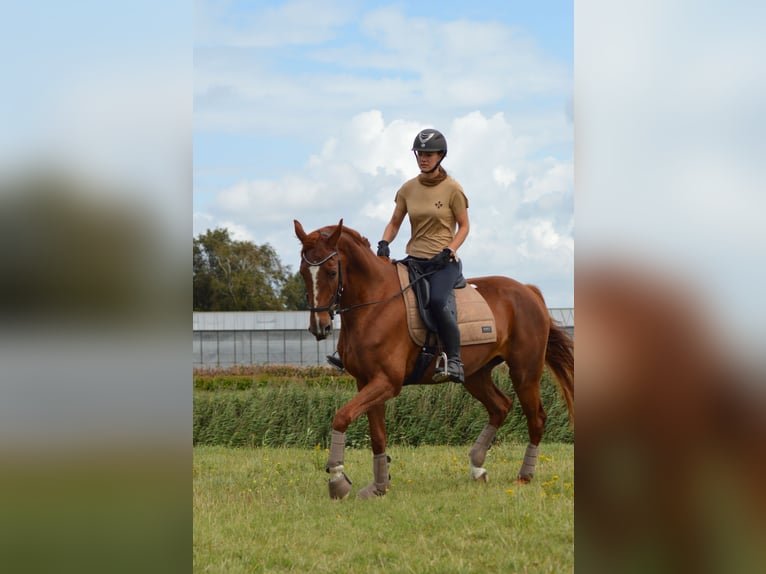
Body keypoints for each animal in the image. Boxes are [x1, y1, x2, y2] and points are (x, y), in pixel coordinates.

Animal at [296, 220, 576, 500]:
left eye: (332, 272)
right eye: (302, 273)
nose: (319, 327)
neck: (374, 304)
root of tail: (528, 291)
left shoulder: (387, 383)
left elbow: (341, 417)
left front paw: (337, 480)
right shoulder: (366, 382)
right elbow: (377, 436)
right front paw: (379, 487)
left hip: (524, 373)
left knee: (536, 418)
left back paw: (524, 476)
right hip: (475, 375)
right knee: (501, 406)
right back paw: (477, 467)